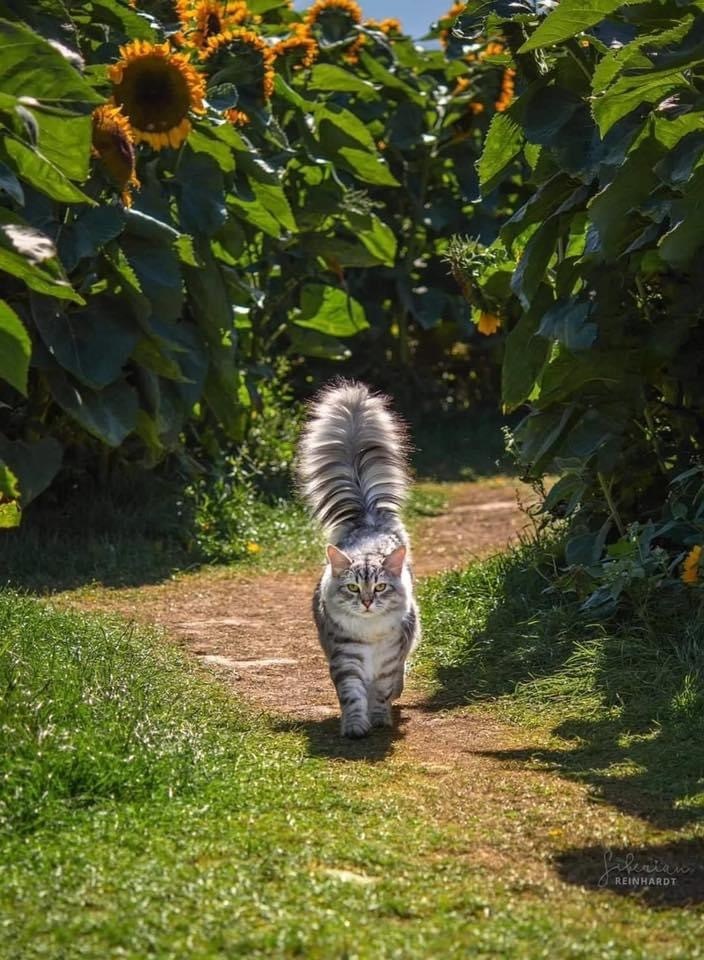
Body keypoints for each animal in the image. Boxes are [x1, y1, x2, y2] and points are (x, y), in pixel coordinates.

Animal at [296, 378, 418, 740]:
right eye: (352, 588)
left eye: (379, 588)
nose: (366, 601)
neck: (370, 634)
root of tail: (366, 520)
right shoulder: (344, 658)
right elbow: (352, 695)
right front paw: (355, 727)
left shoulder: (389, 659)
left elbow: (382, 690)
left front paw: (379, 718)